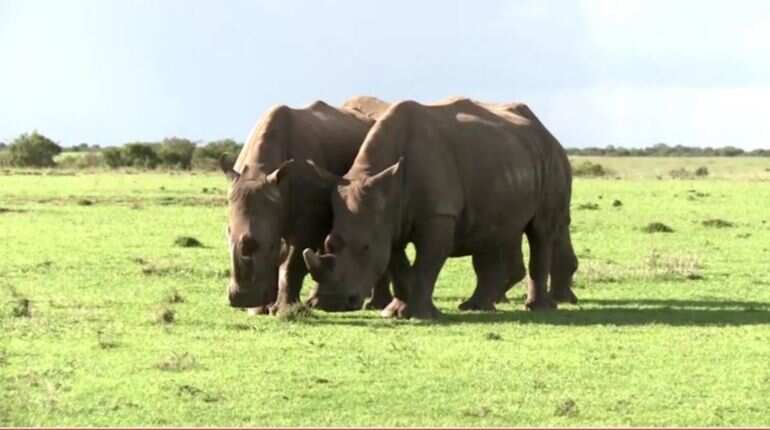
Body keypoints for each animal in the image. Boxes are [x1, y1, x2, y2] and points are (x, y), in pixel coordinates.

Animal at [221, 96, 392, 313]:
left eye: (272, 245)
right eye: (227, 234)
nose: (242, 300)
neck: (259, 171)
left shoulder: (309, 219)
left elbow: (293, 262)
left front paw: (284, 310)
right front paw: (259, 310)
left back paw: (375, 305)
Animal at [300, 98, 578, 319]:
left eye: (365, 248)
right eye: (327, 243)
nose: (330, 304)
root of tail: (546, 132)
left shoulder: (439, 214)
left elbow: (428, 262)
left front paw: (420, 314)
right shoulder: (389, 218)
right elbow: (397, 264)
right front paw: (395, 311)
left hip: (551, 158)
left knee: (541, 230)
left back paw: (536, 308)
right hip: (505, 162)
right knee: (494, 232)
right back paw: (475, 306)